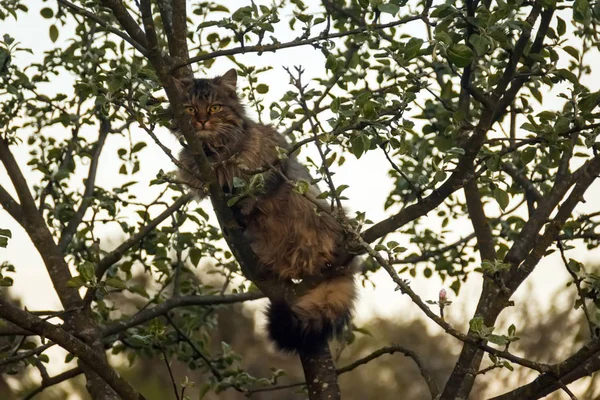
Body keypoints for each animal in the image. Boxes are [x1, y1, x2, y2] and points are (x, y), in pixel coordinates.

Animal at [172, 70, 356, 352]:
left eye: (214, 107)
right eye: (190, 109)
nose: (202, 121)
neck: (213, 151)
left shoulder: (271, 167)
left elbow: (254, 195)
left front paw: (242, 210)